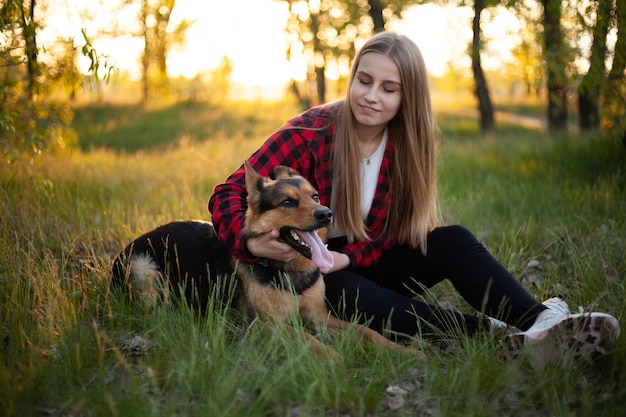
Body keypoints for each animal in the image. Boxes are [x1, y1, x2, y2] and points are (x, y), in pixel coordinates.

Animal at [110, 161, 408, 356]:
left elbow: (365, 330)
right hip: (144, 269)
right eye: (287, 202)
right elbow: (309, 339)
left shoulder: (318, 316)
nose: (326, 214)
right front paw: (336, 358)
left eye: (314, 196)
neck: (288, 269)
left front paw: (403, 350)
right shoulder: (270, 325)